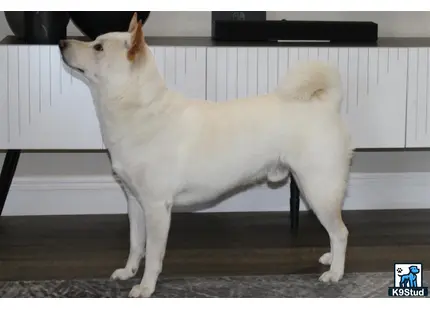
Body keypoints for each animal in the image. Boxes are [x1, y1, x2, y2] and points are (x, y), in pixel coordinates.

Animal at [59, 12, 352, 298]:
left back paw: (335, 273)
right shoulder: (135, 202)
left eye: (98, 47)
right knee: (334, 232)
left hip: (318, 188)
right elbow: (135, 245)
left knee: (340, 232)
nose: (61, 42)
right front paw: (129, 272)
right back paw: (330, 259)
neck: (138, 108)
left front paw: (145, 287)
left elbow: (153, 254)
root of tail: (326, 104)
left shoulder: (156, 207)